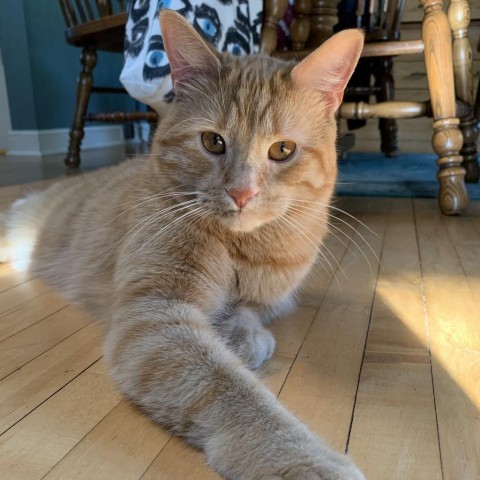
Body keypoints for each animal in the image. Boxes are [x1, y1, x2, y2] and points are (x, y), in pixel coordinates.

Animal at [0, 10, 364, 480]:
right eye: (213, 142)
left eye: (283, 150)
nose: (242, 193)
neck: (241, 248)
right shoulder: (154, 317)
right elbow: (230, 392)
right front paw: (303, 459)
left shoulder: (273, 295)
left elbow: (250, 310)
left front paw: (241, 332)